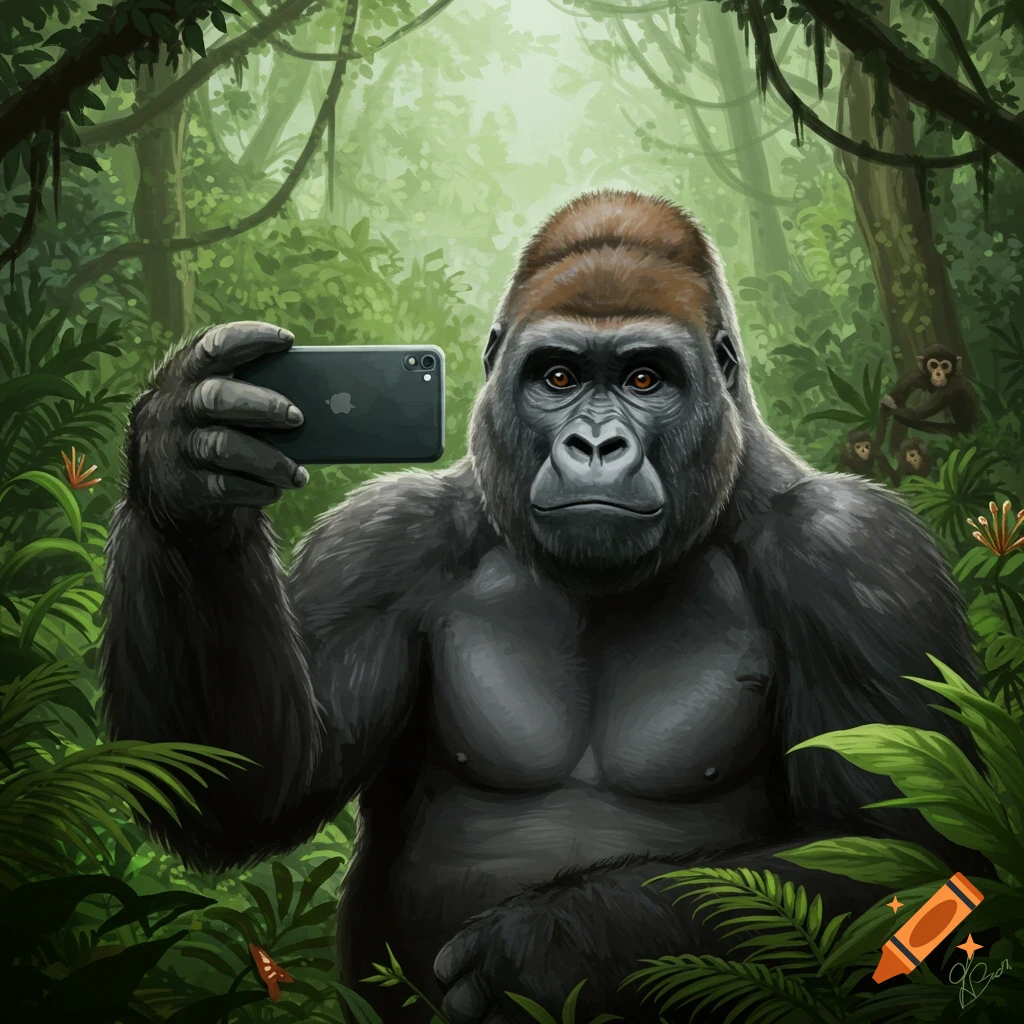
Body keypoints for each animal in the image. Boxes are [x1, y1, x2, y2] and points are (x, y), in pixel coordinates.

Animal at [101, 190, 983, 1024]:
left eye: (644, 379)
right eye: (557, 377)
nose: (595, 445)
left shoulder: (857, 558)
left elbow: (904, 852)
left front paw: (557, 946)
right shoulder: (379, 544)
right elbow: (252, 786)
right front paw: (187, 471)